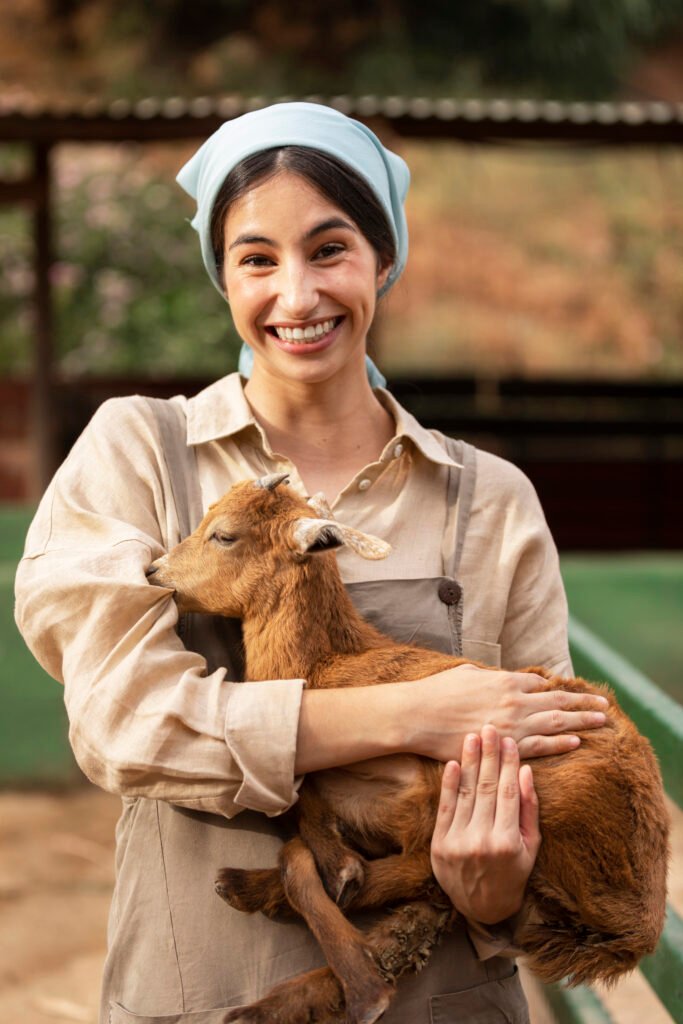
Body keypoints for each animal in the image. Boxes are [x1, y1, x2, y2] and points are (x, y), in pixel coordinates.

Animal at [147, 474, 669, 1024]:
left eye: (224, 535)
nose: (155, 571)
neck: (324, 668)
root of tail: (639, 926)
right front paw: (335, 869)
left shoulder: (416, 789)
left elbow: (312, 843)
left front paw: (344, 883)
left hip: (550, 799)